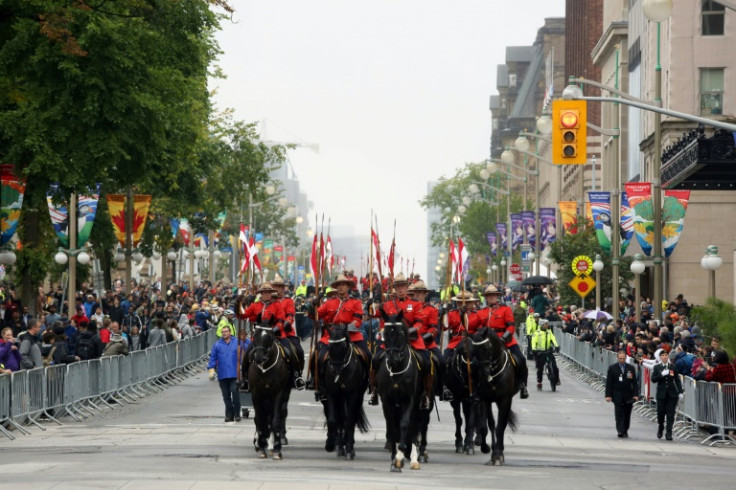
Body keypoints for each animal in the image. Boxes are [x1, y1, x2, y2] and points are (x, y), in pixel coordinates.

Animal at [247, 318, 294, 460]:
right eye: (255, 335)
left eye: (269, 337)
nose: (258, 358)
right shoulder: (256, 394)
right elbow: (260, 420)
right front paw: (261, 447)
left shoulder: (278, 393)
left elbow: (276, 420)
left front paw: (277, 449)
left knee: (280, 414)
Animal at [322, 326, 370, 460]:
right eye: (329, 346)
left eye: (343, 346)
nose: (335, 369)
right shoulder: (332, 394)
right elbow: (335, 420)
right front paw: (339, 447)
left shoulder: (352, 394)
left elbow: (349, 421)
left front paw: (348, 449)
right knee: (342, 418)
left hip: (358, 397)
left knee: (351, 418)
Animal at [376, 312, 422, 472]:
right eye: (385, 333)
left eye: (401, 333)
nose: (393, 358)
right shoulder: (387, 401)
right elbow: (392, 427)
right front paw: (395, 458)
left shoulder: (409, 400)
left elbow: (404, 424)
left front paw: (400, 455)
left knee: (414, 426)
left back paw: (414, 458)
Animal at [472, 328, 516, 466]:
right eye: (475, 351)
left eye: (487, 348)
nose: (485, 371)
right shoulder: (486, 400)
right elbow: (490, 424)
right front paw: (490, 450)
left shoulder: (505, 400)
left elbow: (500, 426)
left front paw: (498, 454)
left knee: (503, 423)